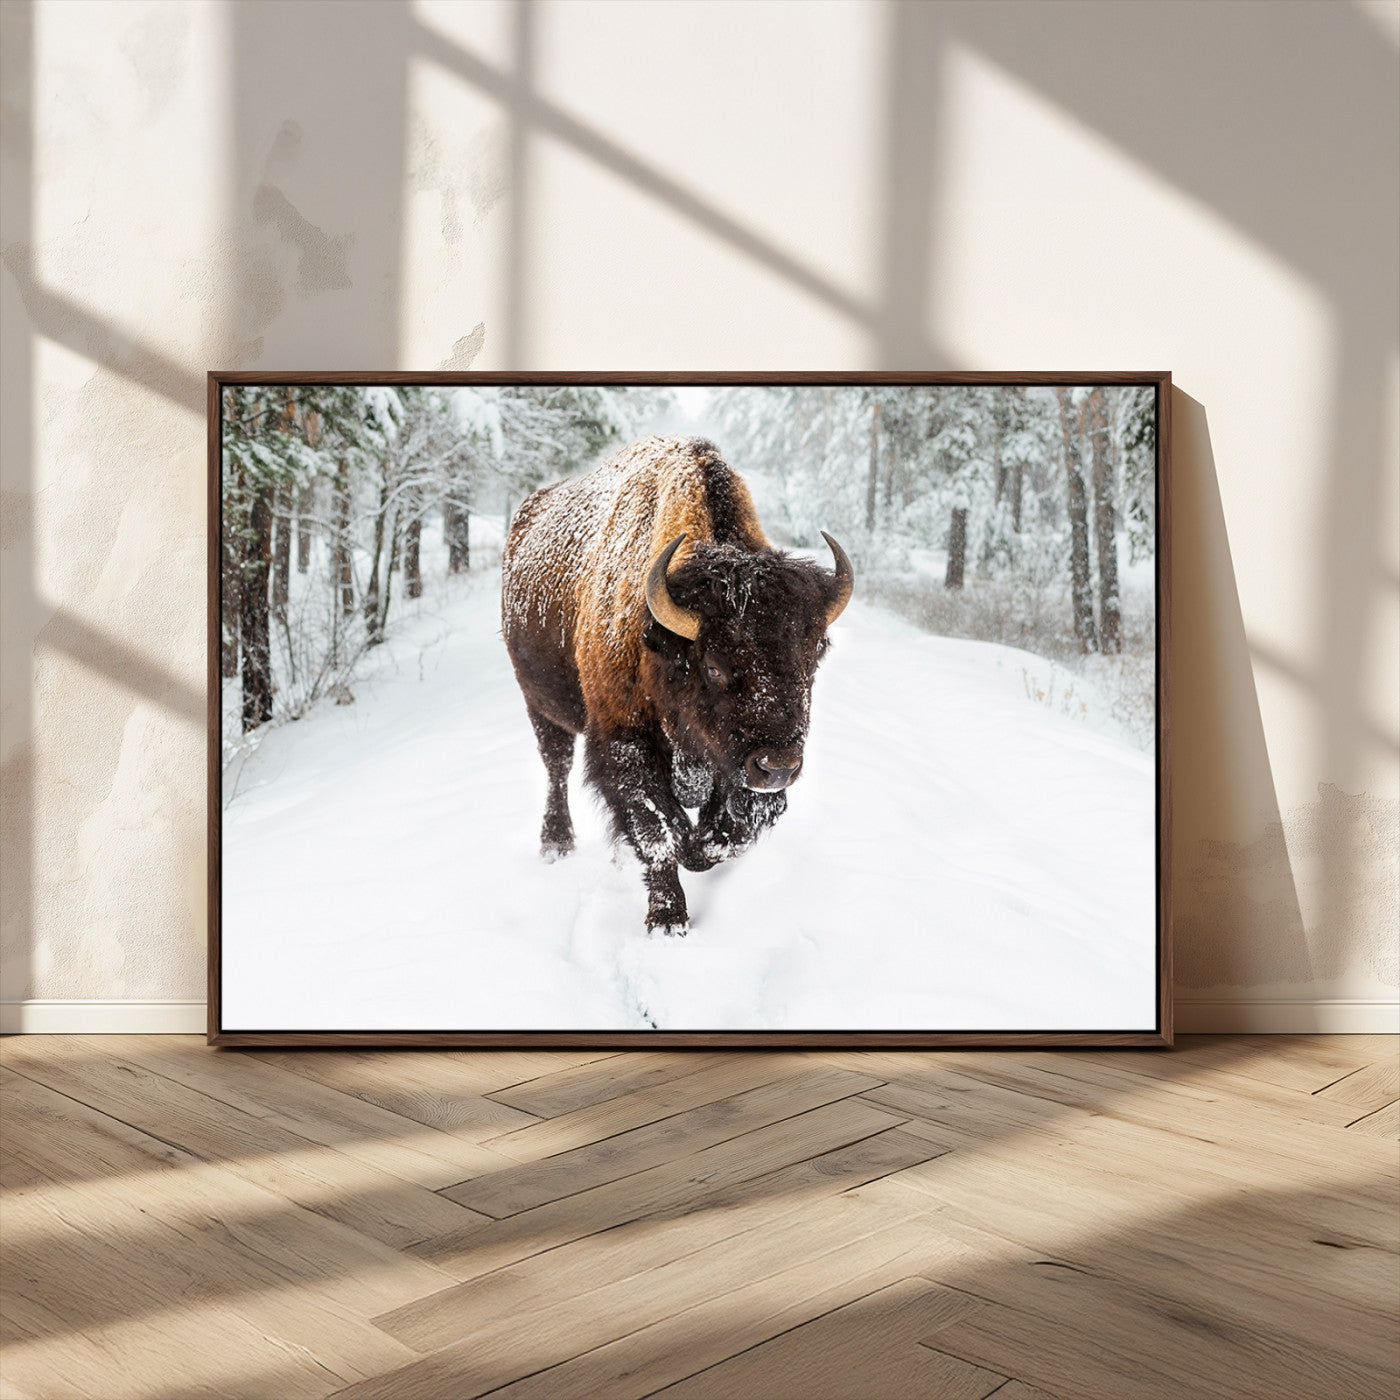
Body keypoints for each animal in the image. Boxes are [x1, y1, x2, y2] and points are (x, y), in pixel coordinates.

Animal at [502, 435, 852, 935]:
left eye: (814, 656)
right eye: (714, 666)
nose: (779, 767)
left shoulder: (731, 764)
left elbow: (729, 833)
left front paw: (699, 849)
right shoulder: (625, 742)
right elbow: (658, 831)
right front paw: (667, 920)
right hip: (539, 703)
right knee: (556, 764)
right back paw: (556, 844)